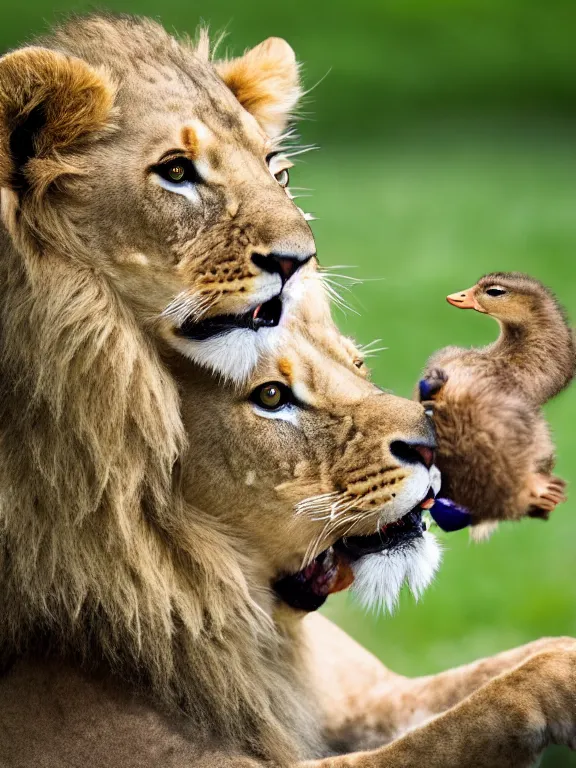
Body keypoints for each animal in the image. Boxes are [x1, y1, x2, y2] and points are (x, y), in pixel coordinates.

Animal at [1, 260, 576, 764]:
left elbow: (497, 672)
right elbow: (458, 723)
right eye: (273, 396)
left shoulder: (369, 695)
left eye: (356, 365)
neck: (268, 631)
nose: (435, 444)